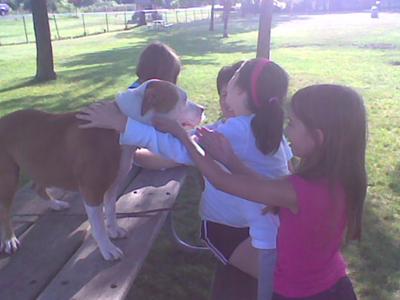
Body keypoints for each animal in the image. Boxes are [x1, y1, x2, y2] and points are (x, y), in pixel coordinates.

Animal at [0, 79, 205, 260]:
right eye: (183, 99)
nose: (203, 108)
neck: (120, 126)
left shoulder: (113, 185)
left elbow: (111, 210)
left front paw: (113, 230)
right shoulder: (92, 191)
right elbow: (98, 224)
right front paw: (107, 248)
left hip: (41, 165)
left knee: (37, 186)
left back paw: (55, 204)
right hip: (8, 177)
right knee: (5, 210)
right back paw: (9, 239)